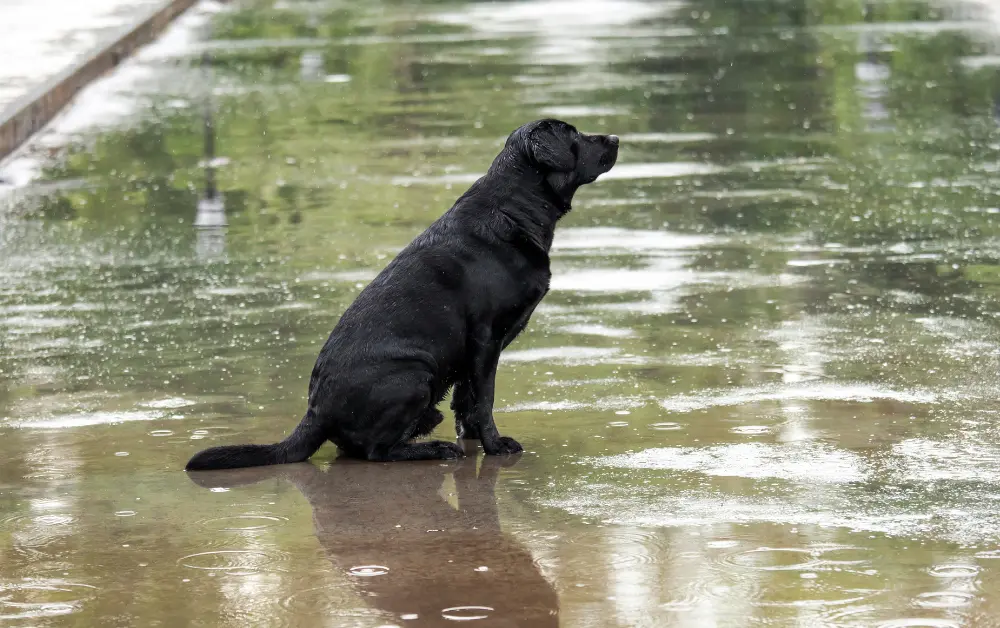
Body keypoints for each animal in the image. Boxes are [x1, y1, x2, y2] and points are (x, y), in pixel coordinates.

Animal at [184, 119, 612, 472]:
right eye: (575, 135)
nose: (615, 138)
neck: (512, 210)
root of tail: (315, 412)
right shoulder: (485, 339)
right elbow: (485, 399)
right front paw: (494, 446)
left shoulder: (472, 351)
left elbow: (467, 402)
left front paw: (475, 439)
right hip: (414, 373)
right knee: (376, 452)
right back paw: (433, 450)